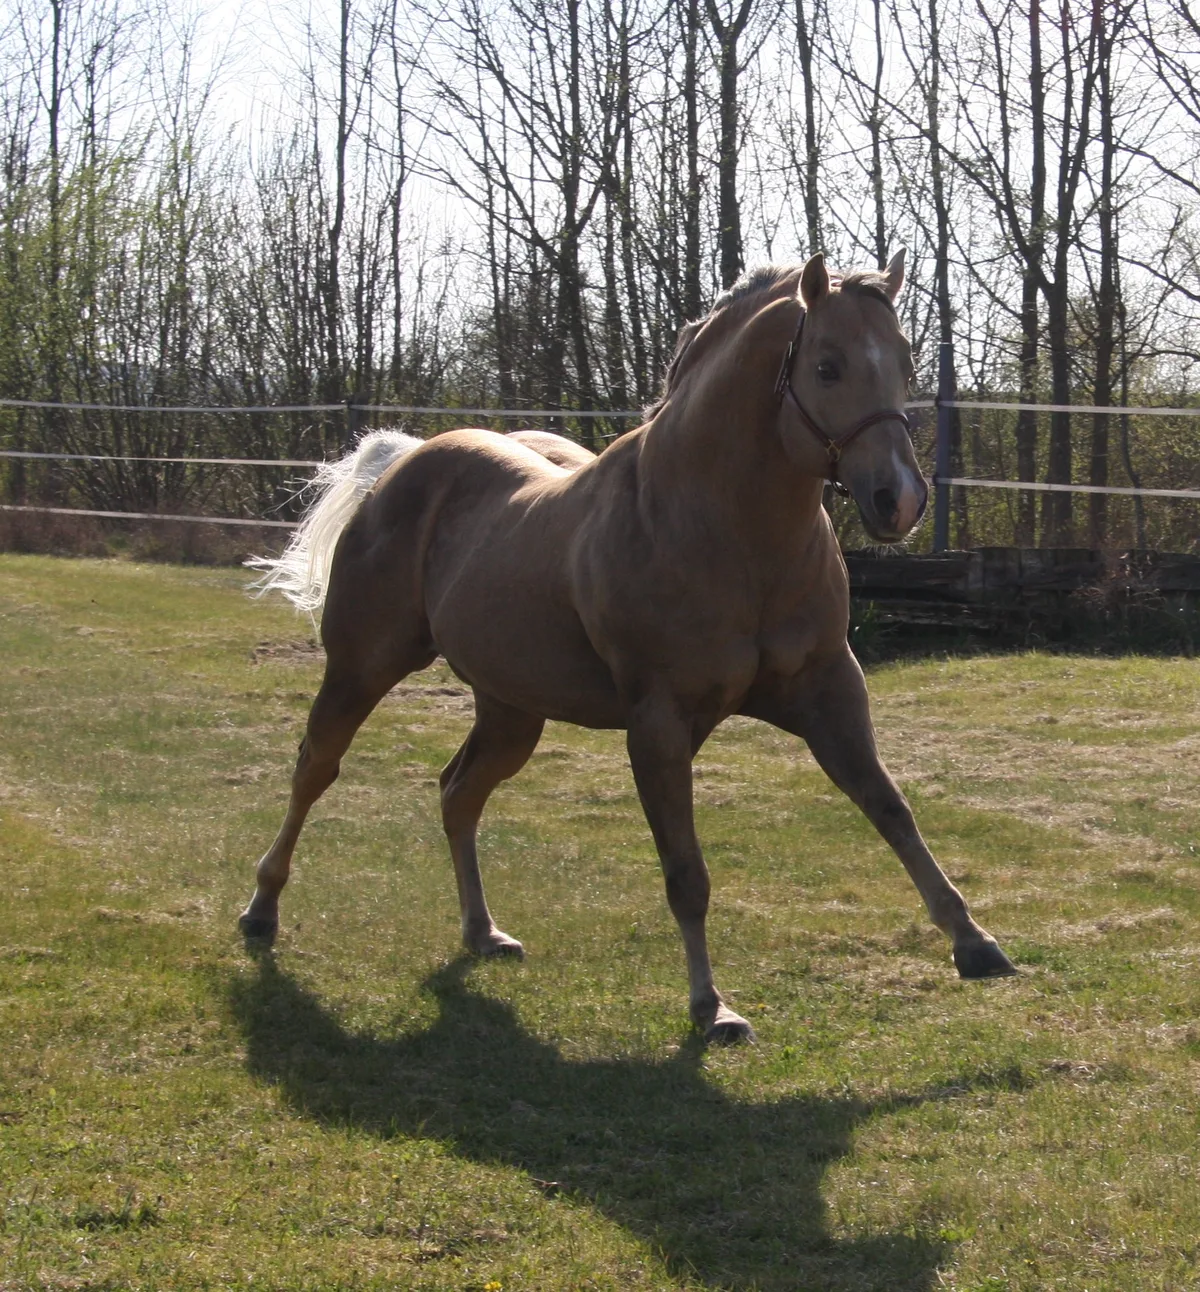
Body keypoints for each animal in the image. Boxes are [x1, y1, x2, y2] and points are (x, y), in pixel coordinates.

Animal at [241, 251, 1016, 1044]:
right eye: (827, 367)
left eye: (904, 361)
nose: (900, 500)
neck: (725, 534)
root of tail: (403, 462)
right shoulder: (659, 723)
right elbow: (686, 872)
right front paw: (712, 1008)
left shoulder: (830, 691)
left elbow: (891, 809)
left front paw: (975, 943)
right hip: (361, 670)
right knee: (315, 769)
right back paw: (261, 912)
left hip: (510, 713)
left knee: (458, 793)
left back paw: (483, 932)